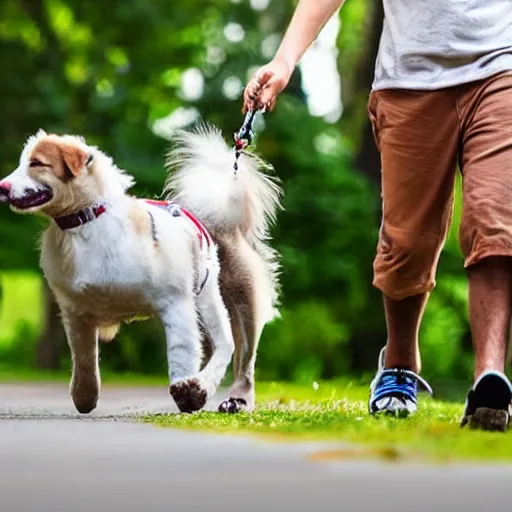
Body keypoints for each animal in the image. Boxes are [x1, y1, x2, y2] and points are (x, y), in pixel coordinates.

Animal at [0, 126, 282, 414]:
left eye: (37, 163)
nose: (2, 187)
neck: (87, 220)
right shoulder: (76, 311)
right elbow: (84, 359)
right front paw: (84, 395)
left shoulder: (176, 301)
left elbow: (181, 350)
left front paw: (185, 389)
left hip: (223, 297)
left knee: (232, 347)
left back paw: (219, 394)